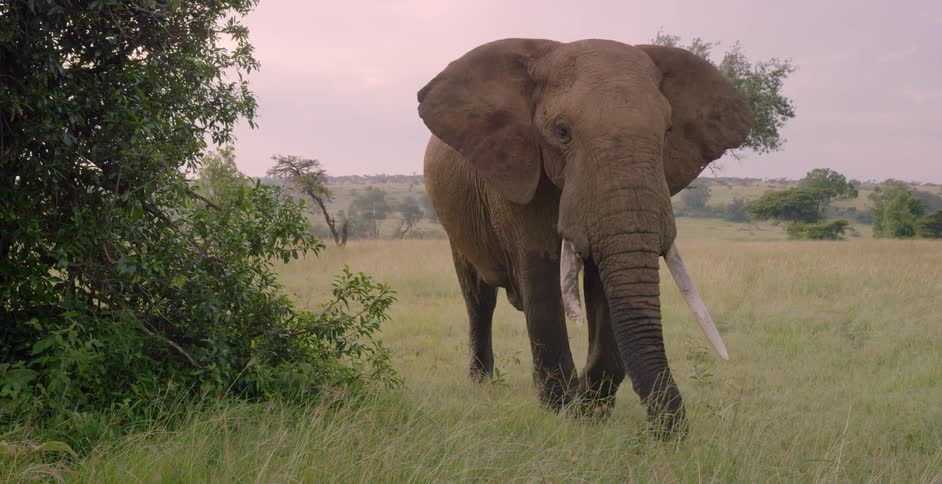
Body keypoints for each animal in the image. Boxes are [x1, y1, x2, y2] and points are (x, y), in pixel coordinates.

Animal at [417, 38, 753, 437]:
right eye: (562, 132)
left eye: (667, 131)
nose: (666, 433)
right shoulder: (514, 170)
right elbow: (541, 275)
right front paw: (559, 409)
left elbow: (604, 285)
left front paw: (588, 413)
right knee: (478, 296)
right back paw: (482, 383)